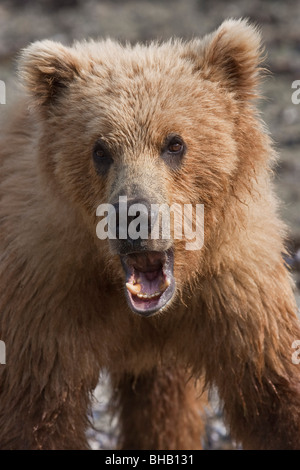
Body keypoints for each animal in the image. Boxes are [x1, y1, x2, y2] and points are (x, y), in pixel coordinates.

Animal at [0, 20, 300, 450]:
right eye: (100, 149)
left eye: (175, 143)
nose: (133, 216)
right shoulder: (51, 292)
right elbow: (37, 413)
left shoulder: (235, 286)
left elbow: (274, 390)